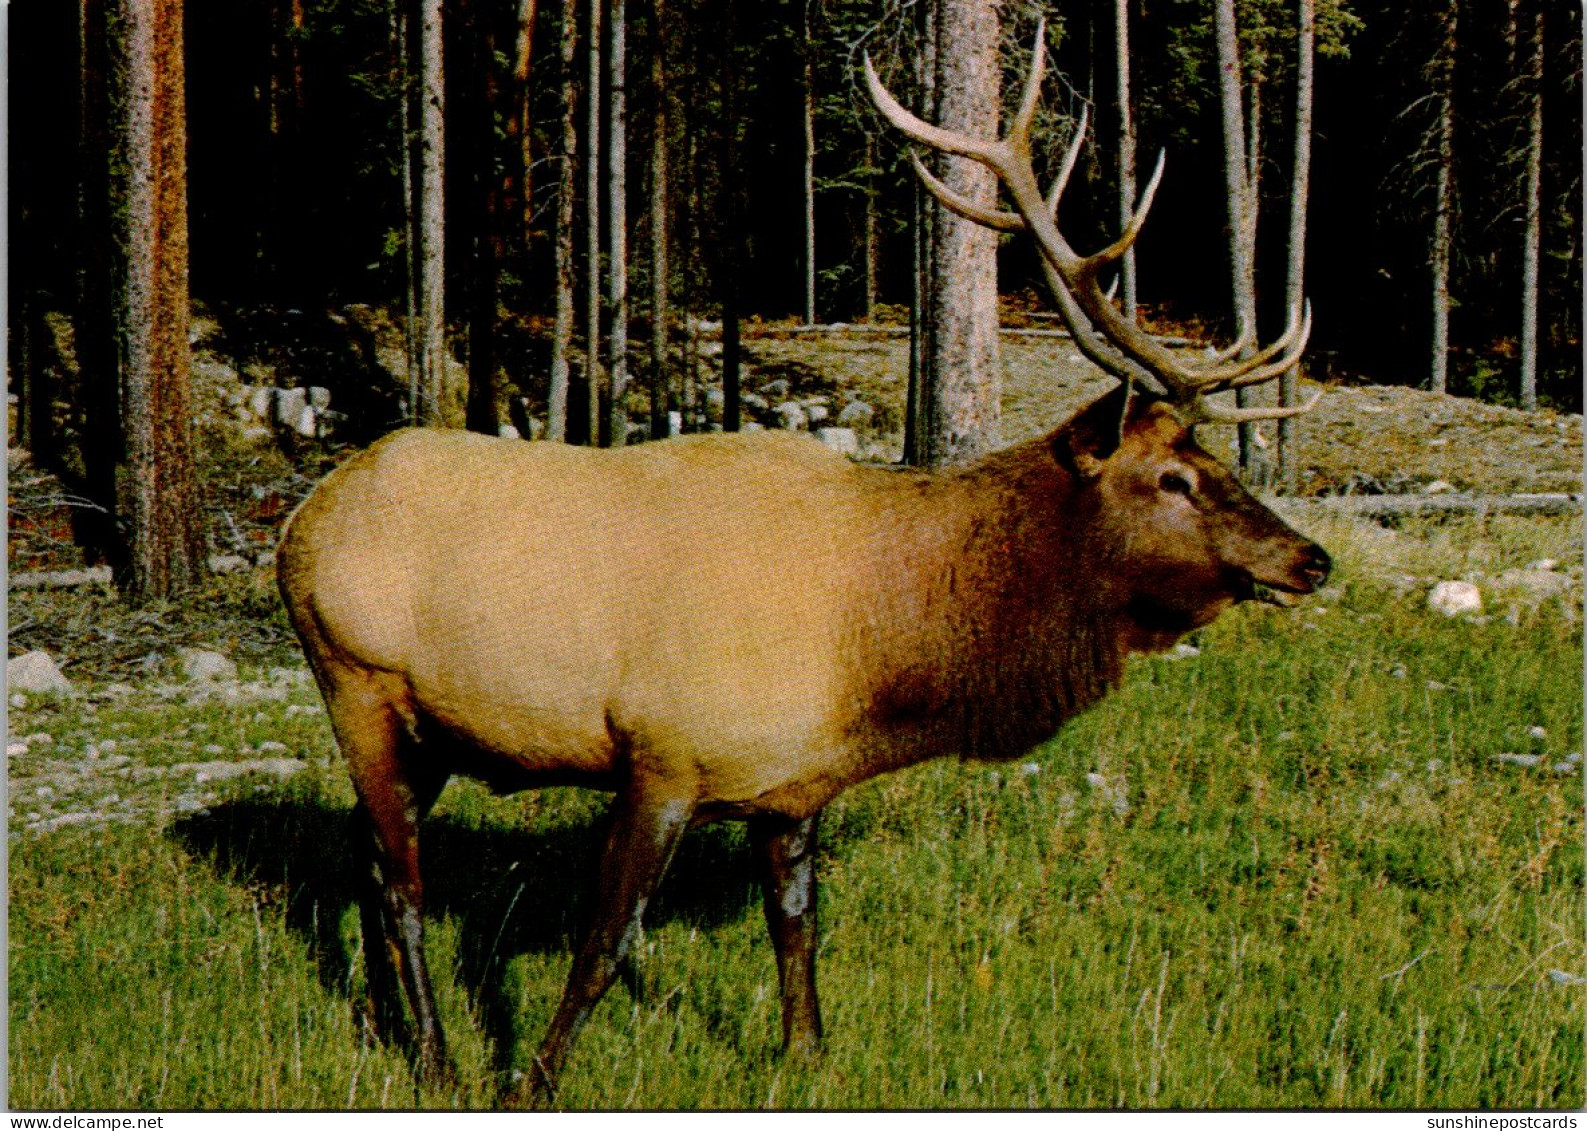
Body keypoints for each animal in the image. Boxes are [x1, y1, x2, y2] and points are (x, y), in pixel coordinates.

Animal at [276, 22, 1326, 1110]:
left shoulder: (792, 785)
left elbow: (797, 925)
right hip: (356, 681)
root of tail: (301, 516)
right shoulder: (662, 754)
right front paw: (529, 1080)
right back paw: (437, 1059)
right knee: (400, 878)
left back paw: (387, 1028)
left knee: (365, 859)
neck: (875, 650)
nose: (1311, 557)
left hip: (431, 729)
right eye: (1173, 476)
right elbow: (605, 942)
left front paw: (808, 1056)